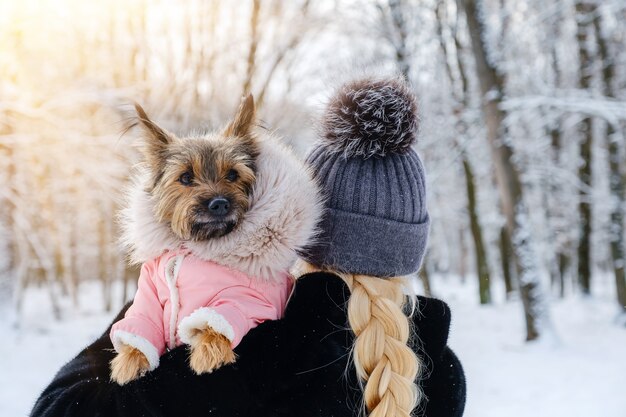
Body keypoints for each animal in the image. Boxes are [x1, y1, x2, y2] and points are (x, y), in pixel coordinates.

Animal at [108, 94, 322, 384]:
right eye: (186, 177)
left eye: (232, 174)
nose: (219, 203)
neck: (196, 247)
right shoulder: (148, 295)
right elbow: (141, 324)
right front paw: (129, 360)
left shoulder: (247, 298)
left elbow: (218, 319)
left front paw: (208, 351)